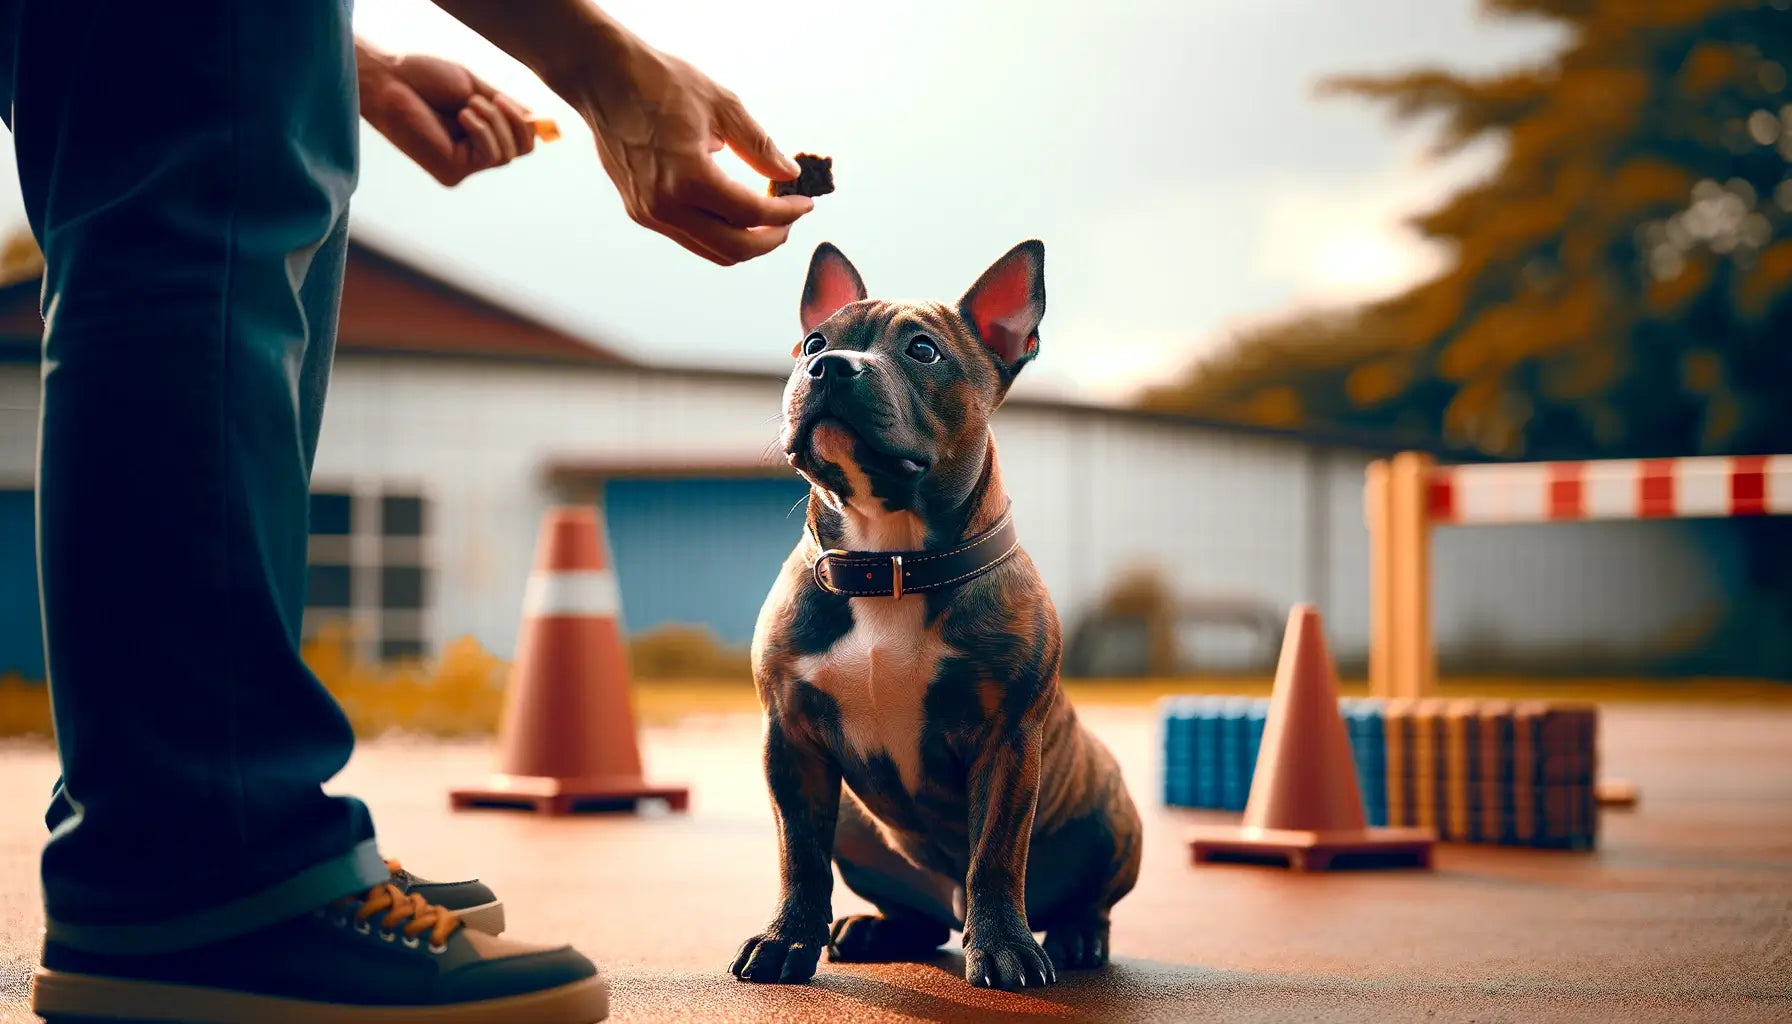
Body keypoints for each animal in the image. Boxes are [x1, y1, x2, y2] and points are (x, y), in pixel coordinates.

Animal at [731, 240, 1139, 997]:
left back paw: (1074, 936)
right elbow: (799, 855)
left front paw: (1005, 949)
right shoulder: (791, 741)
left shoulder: (1007, 741)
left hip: (1110, 817)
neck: (889, 560)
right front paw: (785, 941)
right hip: (856, 824)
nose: (829, 366)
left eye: (922, 351)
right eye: (814, 342)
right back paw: (873, 930)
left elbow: (996, 856)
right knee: (917, 914)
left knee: (1074, 899)